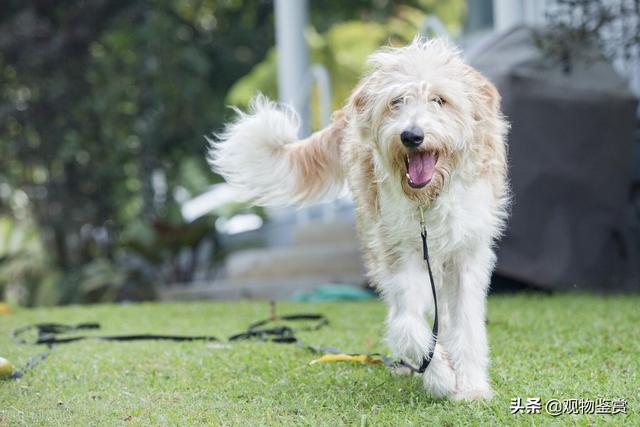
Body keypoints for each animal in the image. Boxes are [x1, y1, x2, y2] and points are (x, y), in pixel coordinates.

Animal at [210, 37, 510, 402]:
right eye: (397, 102)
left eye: (440, 100)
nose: (411, 136)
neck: (427, 201)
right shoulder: (398, 252)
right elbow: (406, 322)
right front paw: (438, 375)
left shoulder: (467, 254)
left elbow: (466, 323)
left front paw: (471, 387)